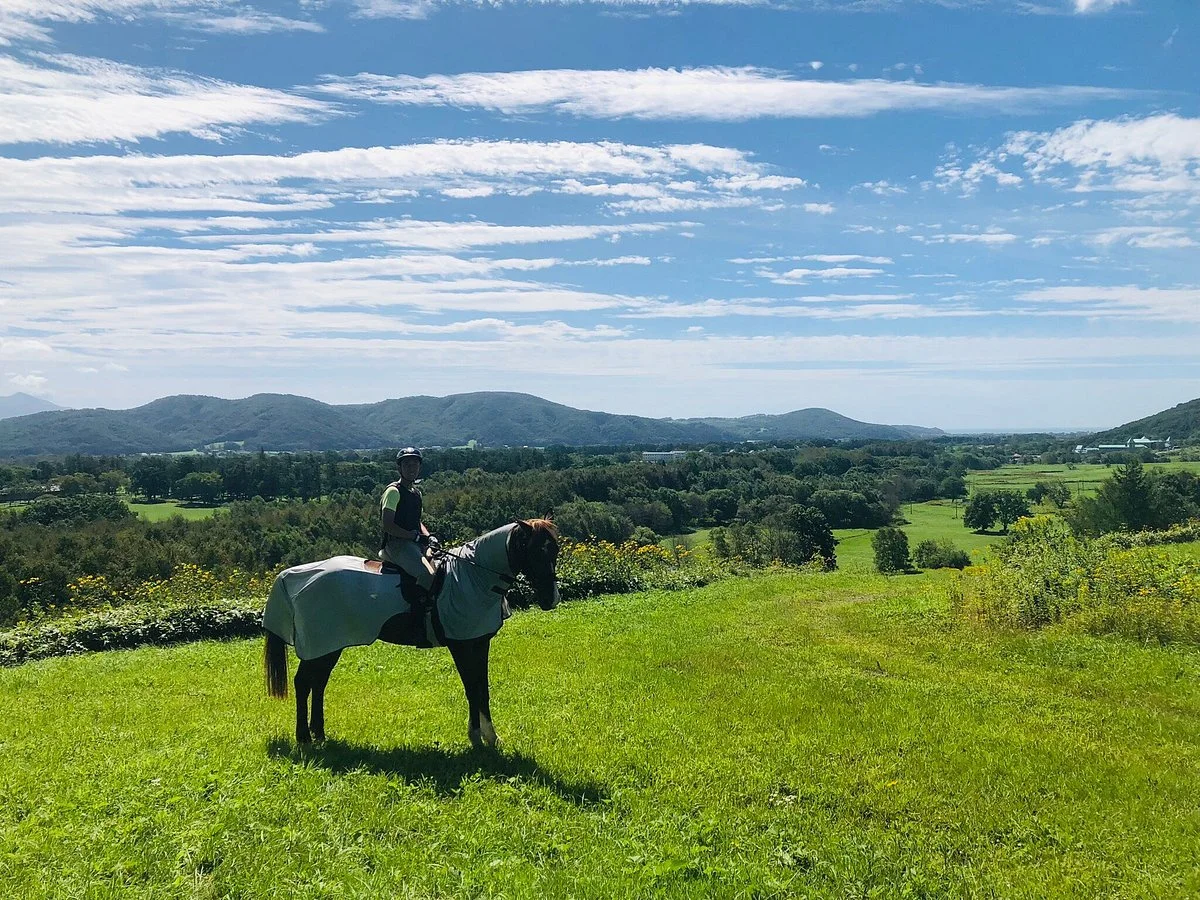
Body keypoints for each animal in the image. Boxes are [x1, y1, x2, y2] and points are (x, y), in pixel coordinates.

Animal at [262, 519, 559, 749]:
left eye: (554, 551)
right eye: (534, 551)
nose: (551, 599)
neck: (470, 577)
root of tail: (293, 574)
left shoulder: (478, 643)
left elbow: (481, 689)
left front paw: (490, 737)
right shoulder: (462, 646)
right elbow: (472, 690)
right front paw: (477, 737)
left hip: (329, 646)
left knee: (318, 684)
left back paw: (319, 733)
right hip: (321, 645)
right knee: (304, 684)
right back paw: (304, 737)